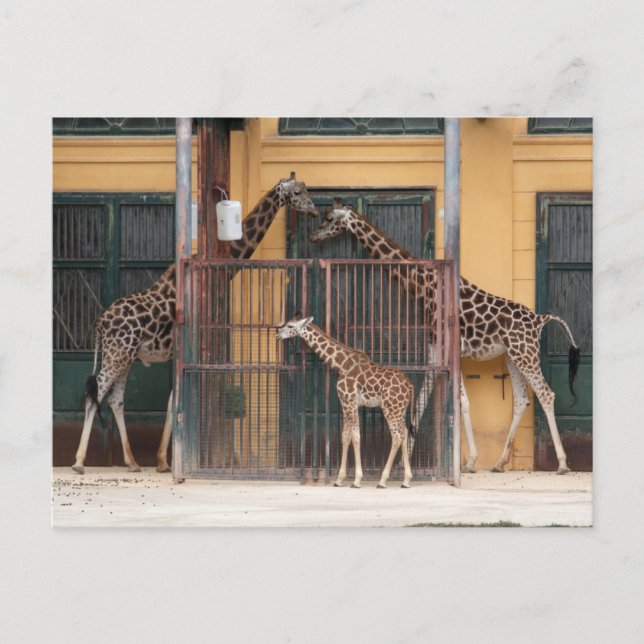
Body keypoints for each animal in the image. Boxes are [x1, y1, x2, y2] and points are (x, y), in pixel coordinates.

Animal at [71, 176, 318, 474]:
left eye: (306, 190)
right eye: (298, 192)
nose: (315, 210)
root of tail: (99, 323)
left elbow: (174, 401)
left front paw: (163, 461)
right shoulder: (187, 347)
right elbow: (177, 400)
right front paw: (167, 461)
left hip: (124, 356)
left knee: (115, 399)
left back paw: (132, 462)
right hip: (117, 354)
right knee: (95, 393)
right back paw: (79, 462)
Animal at [275, 315, 416, 488]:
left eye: (290, 325)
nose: (277, 335)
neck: (341, 364)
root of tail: (409, 385)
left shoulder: (349, 401)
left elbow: (356, 436)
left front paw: (356, 480)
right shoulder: (346, 403)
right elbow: (345, 436)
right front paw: (339, 479)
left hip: (390, 408)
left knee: (396, 436)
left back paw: (382, 481)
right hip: (400, 409)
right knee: (404, 432)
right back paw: (406, 480)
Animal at [309, 203, 581, 475]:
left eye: (329, 218)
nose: (313, 236)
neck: (425, 287)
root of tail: (539, 320)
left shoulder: (449, 349)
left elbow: (461, 402)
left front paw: (468, 461)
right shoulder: (434, 350)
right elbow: (421, 402)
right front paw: (403, 461)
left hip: (526, 354)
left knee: (546, 394)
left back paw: (562, 463)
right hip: (513, 357)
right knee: (522, 400)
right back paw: (499, 462)